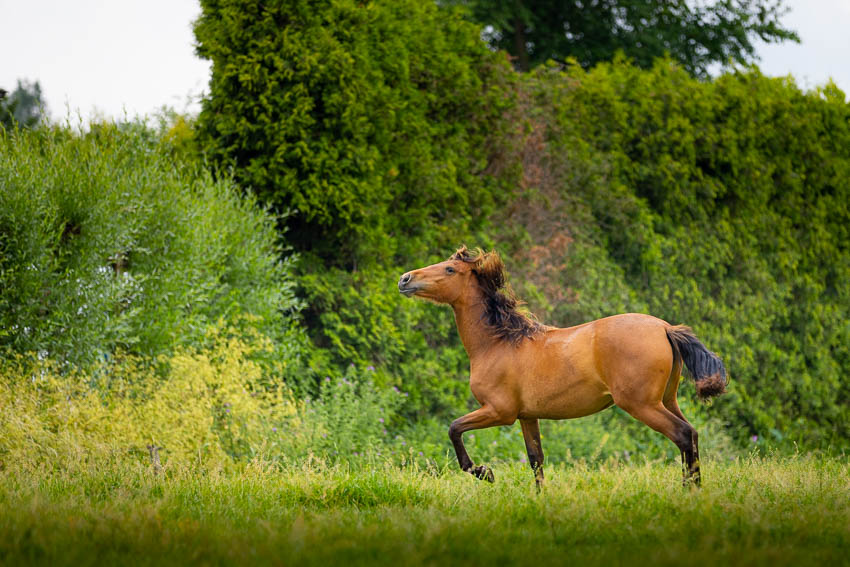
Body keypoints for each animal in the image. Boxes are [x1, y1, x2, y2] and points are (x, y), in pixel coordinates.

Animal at [396, 246, 724, 486]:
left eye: (449, 269)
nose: (405, 279)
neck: (498, 343)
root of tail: (665, 328)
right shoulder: (526, 416)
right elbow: (536, 460)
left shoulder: (499, 412)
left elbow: (454, 429)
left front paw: (485, 473)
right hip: (667, 400)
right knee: (692, 435)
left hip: (641, 404)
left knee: (682, 435)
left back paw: (688, 492)